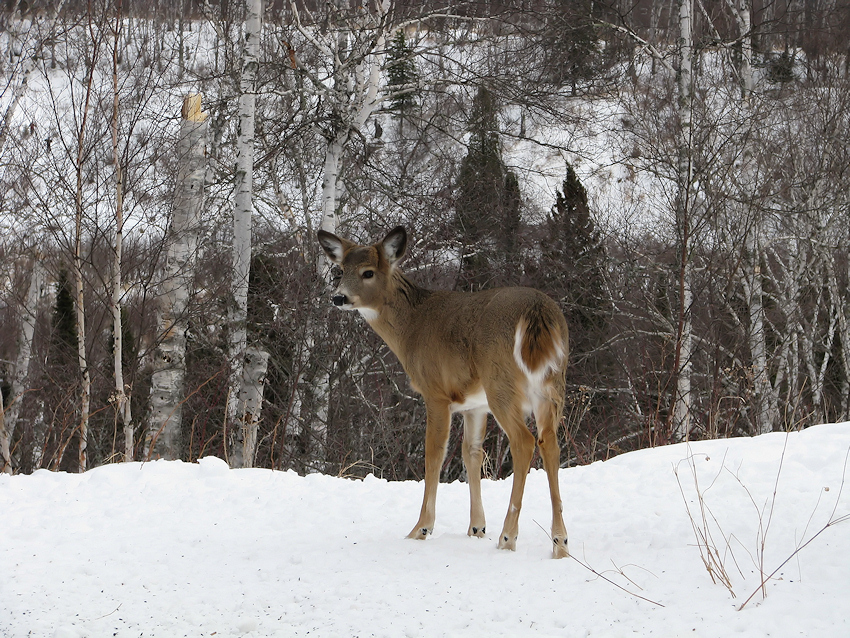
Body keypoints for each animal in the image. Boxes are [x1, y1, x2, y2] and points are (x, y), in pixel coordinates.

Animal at [318, 228, 568, 556]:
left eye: (367, 272)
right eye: (340, 270)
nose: (338, 297)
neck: (411, 327)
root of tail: (537, 313)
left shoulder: (434, 391)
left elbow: (434, 453)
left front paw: (421, 528)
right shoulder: (475, 404)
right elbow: (471, 452)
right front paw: (476, 528)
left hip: (501, 381)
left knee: (524, 441)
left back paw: (507, 538)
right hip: (551, 383)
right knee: (550, 442)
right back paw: (560, 542)